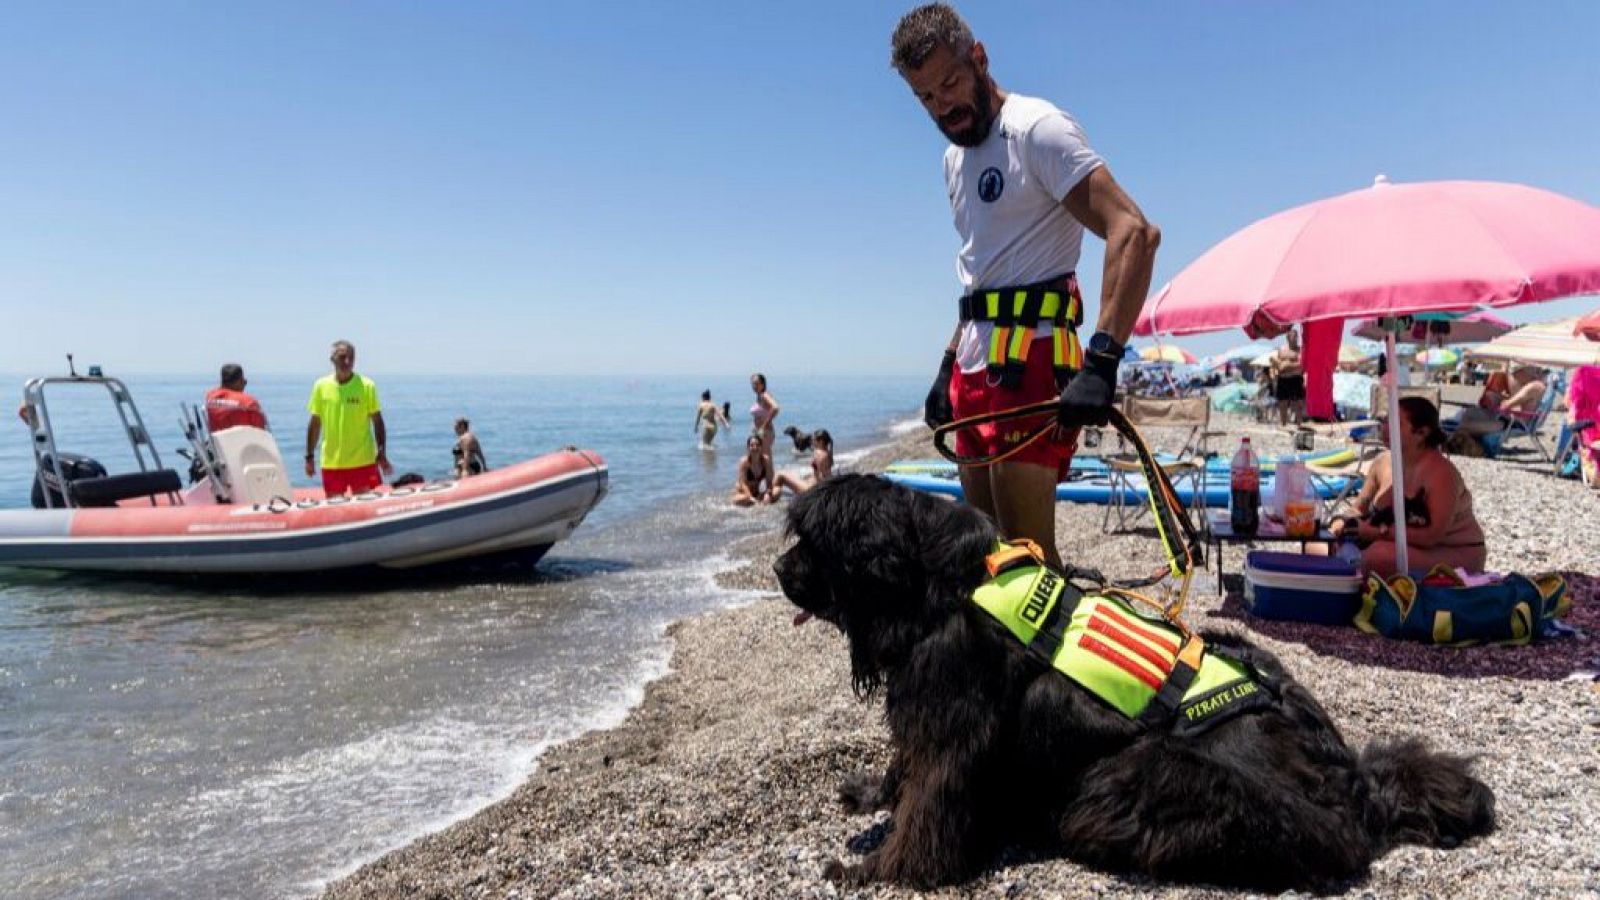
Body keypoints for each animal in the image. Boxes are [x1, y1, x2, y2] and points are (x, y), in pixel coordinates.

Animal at [777, 474, 1497, 883]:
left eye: (814, 544)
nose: (780, 570)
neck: (947, 580)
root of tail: (1357, 786)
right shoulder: (928, 715)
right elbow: (904, 770)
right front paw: (872, 797)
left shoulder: (955, 724)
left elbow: (928, 805)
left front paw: (877, 871)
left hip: (1137, 780)